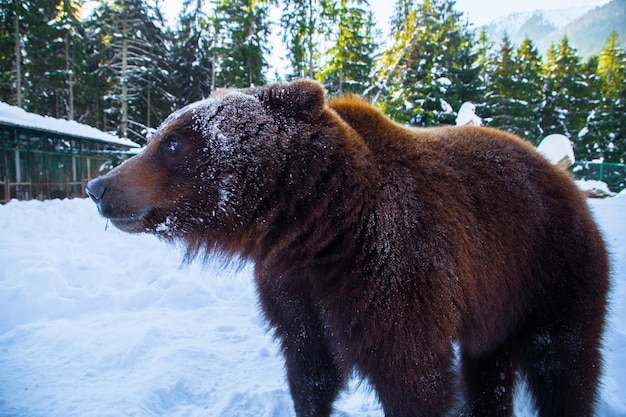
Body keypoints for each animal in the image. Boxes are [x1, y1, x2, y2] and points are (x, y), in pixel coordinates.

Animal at [85, 79, 608, 414]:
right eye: (159, 134)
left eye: (172, 142)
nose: (98, 186)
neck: (316, 226)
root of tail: (562, 176)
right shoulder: (296, 289)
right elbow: (310, 370)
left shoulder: (394, 273)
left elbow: (411, 378)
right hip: (496, 300)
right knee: (490, 372)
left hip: (552, 268)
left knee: (563, 364)